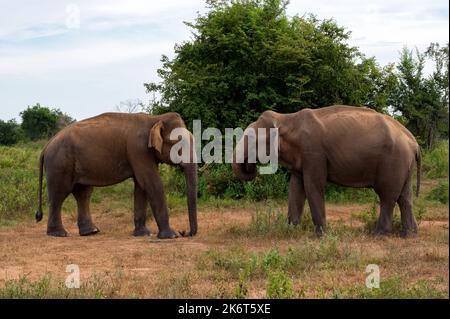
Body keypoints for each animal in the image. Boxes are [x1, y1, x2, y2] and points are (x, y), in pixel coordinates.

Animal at [35, 112, 197, 240]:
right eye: (179, 146)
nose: (184, 232)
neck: (155, 119)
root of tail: (47, 144)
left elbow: (141, 186)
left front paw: (143, 234)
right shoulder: (138, 150)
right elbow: (151, 182)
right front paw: (171, 236)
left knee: (83, 193)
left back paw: (91, 232)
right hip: (59, 163)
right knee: (59, 195)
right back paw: (59, 234)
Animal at [232, 105, 422, 238]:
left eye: (253, 140)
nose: (252, 166)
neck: (287, 118)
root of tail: (414, 142)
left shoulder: (313, 152)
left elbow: (313, 186)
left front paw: (321, 236)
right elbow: (295, 189)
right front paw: (290, 230)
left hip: (393, 161)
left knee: (387, 196)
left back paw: (379, 235)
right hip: (404, 163)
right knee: (405, 197)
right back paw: (409, 235)